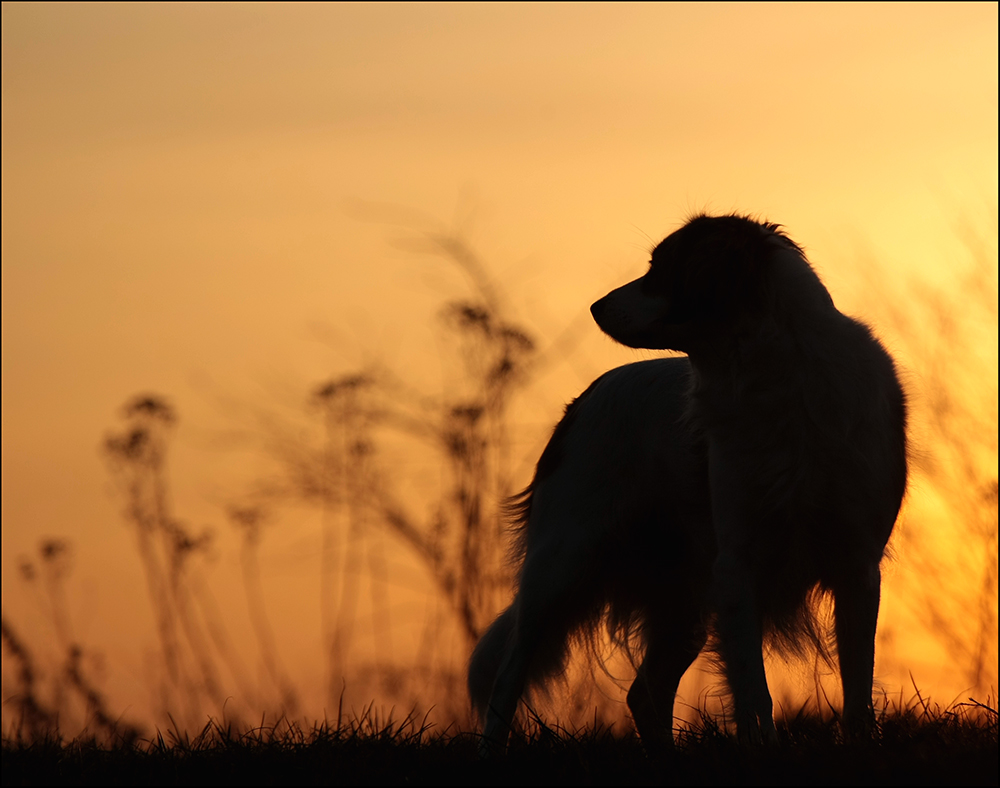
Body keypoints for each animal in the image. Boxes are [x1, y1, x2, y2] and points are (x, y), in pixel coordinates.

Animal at [468, 211, 908, 752]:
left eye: (663, 268)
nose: (594, 307)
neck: (779, 377)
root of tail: (581, 402)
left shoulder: (856, 565)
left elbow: (857, 687)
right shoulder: (738, 564)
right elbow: (754, 691)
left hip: (681, 600)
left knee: (643, 692)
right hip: (561, 565)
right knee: (508, 675)